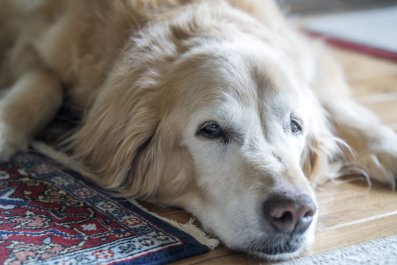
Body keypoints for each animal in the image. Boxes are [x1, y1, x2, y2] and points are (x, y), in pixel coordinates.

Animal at [0, 0, 396, 260]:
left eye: (295, 126)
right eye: (211, 130)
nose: (295, 213)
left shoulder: (310, 54)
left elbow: (333, 103)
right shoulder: (27, 41)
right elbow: (46, 84)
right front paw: (6, 126)